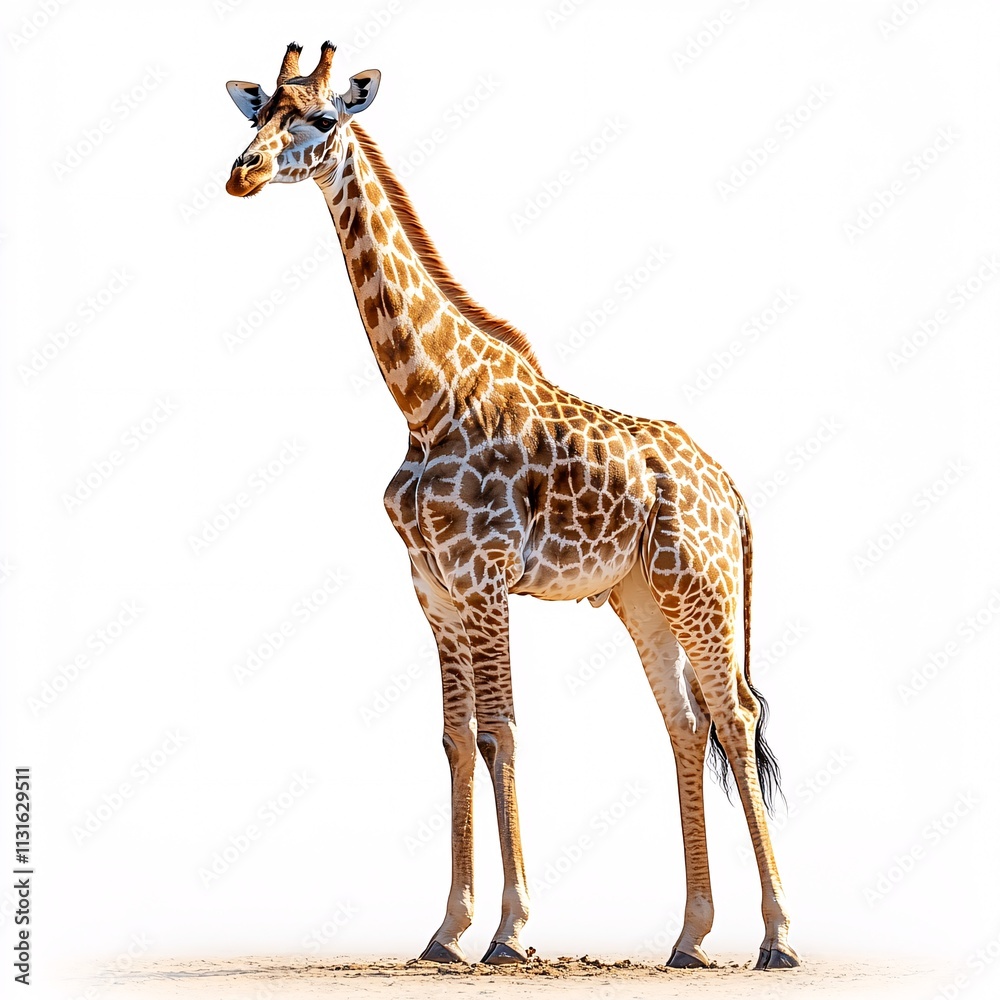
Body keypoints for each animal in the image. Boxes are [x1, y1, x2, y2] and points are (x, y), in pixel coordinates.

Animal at [224, 42, 799, 971]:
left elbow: (503, 730)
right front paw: (446, 931)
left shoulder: (486, 577)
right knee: (684, 722)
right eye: (258, 114)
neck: (425, 399)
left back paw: (779, 935)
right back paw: (689, 937)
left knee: (735, 712)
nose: (240, 173)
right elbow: (457, 738)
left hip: (701, 588)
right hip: (641, 596)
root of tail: (733, 491)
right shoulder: (432, 587)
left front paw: (511, 929)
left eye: (320, 117)